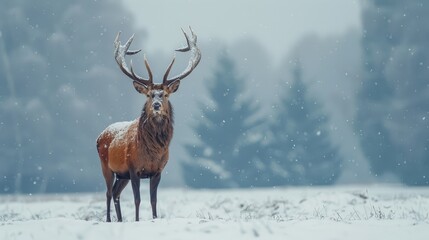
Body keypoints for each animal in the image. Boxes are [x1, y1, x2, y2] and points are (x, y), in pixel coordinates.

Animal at [96, 27, 200, 222]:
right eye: (150, 95)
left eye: (165, 94)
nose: (157, 105)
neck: (153, 152)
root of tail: (99, 136)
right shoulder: (133, 168)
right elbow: (137, 200)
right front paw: (137, 220)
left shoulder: (157, 171)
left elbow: (154, 200)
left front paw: (154, 218)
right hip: (106, 166)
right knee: (108, 193)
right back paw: (109, 220)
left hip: (122, 175)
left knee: (116, 193)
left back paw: (120, 219)